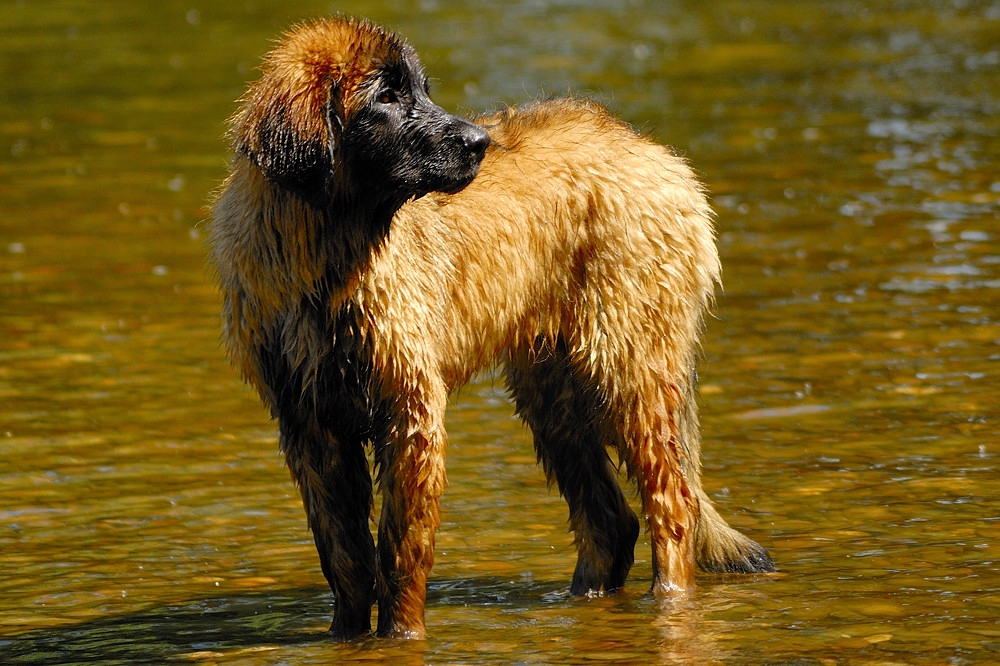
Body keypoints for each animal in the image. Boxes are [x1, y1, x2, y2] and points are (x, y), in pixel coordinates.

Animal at [209, 16, 772, 640]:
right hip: (552, 391)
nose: (479, 143)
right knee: (610, 521)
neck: (323, 257)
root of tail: (659, 156)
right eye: (386, 98)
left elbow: (399, 549)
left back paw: (667, 600)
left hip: (629, 364)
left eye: (422, 90)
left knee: (673, 503)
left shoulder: (408, 409)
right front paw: (346, 638)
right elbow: (344, 554)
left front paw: (401, 637)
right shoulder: (309, 422)